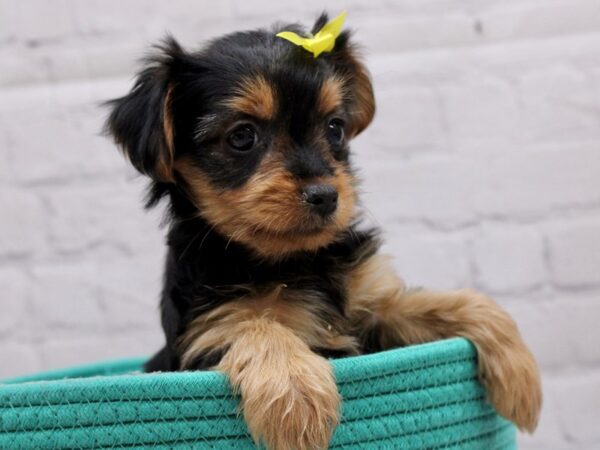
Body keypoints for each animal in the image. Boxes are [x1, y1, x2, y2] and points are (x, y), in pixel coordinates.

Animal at [105, 13, 540, 450]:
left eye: (335, 128)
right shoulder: (210, 325)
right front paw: (297, 404)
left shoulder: (369, 308)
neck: (290, 259)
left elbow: (441, 303)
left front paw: (521, 373)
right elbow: (257, 324)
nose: (325, 195)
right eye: (242, 136)